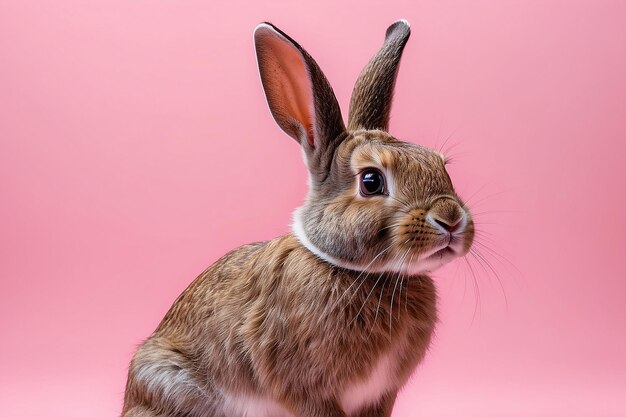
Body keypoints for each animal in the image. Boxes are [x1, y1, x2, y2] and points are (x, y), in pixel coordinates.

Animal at [120, 19, 472, 416]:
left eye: (443, 167)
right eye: (371, 181)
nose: (450, 219)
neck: (368, 275)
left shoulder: (379, 397)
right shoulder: (310, 393)